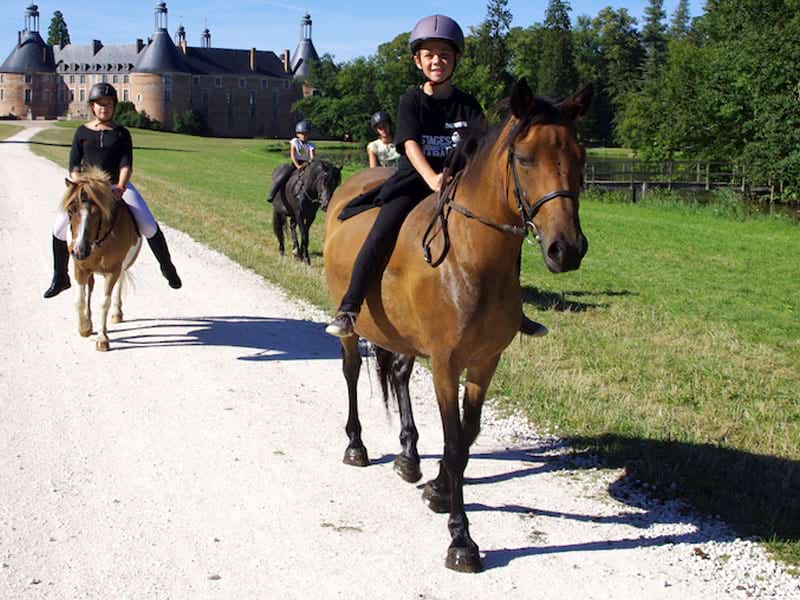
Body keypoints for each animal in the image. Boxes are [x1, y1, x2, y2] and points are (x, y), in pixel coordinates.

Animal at [65, 166, 143, 352]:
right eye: (70, 211)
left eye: (98, 212)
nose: (79, 250)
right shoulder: (80, 268)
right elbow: (80, 299)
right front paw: (84, 327)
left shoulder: (112, 271)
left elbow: (104, 302)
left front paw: (102, 338)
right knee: (90, 288)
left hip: (122, 267)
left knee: (119, 285)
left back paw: (116, 313)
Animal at [322, 79, 592, 572]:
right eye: (525, 158)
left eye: (579, 156)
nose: (567, 249)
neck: (470, 257)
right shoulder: (447, 364)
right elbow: (452, 442)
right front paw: (461, 538)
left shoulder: (485, 362)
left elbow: (467, 438)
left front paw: (439, 489)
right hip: (352, 326)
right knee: (351, 372)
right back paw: (357, 445)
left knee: (398, 374)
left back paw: (409, 455)